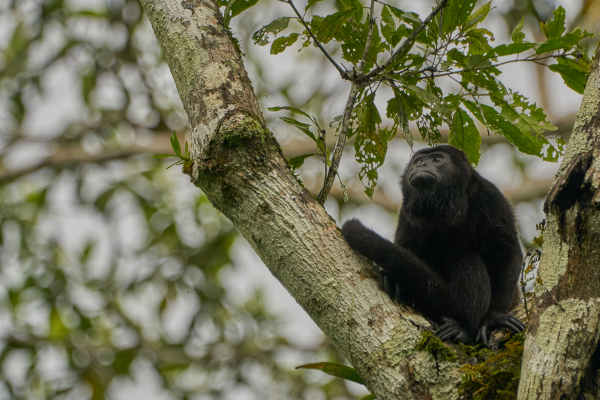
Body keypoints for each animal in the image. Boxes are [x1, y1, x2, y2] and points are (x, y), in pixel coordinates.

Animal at [342, 145, 524, 346]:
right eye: (419, 161)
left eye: (437, 159)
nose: (422, 165)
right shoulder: (407, 214)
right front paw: (392, 278)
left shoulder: (490, 196)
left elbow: (508, 251)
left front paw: (495, 317)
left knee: (468, 261)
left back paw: (464, 330)